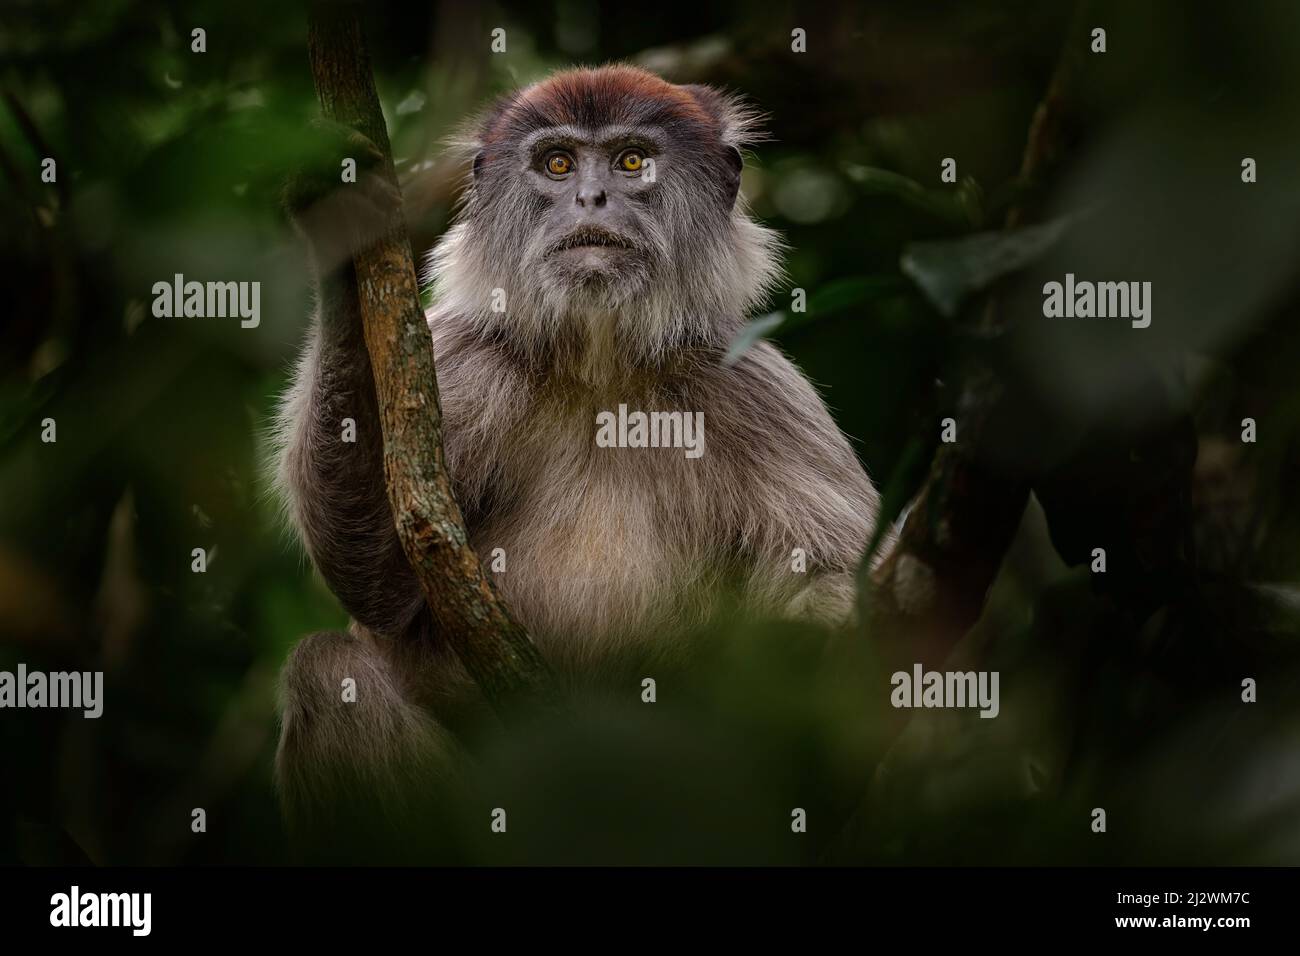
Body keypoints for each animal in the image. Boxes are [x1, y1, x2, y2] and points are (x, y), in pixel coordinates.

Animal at [271, 63, 883, 832]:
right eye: (558, 164)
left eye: (631, 162)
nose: (591, 198)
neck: (600, 367)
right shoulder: (460, 358)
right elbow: (385, 585)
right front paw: (344, 232)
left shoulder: (754, 387)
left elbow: (836, 578)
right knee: (328, 675)